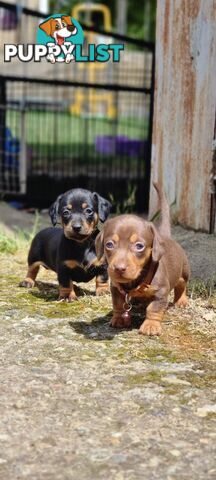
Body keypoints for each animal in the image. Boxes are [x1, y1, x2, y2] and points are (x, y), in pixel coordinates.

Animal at [95, 184, 190, 338]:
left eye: (139, 246)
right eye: (109, 244)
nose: (119, 268)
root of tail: (166, 237)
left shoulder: (161, 292)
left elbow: (154, 309)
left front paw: (151, 325)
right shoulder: (115, 288)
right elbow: (117, 305)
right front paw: (119, 318)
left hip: (184, 272)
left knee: (182, 286)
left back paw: (181, 301)